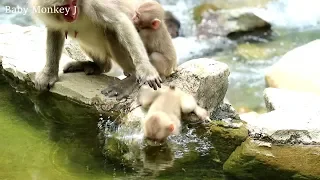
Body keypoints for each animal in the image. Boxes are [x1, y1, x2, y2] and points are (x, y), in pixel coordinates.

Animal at [28, 0, 161, 99]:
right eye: (65, 7)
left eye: (73, 2)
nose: (72, 15)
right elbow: (54, 29)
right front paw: (49, 74)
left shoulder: (94, 3)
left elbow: (120, 21)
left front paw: (145, 69)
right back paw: (99, 66)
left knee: (111, 31)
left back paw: (132, 77)